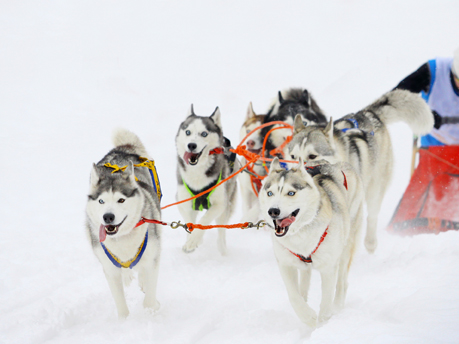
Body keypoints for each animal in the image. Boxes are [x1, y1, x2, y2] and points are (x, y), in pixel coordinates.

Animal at [86, 127, 162, 318]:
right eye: (101, 201)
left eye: (121, 200)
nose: (108, 217)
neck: (122, 239)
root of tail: (123, 150)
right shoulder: (109, 268)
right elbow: (120, 302)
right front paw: (125, 321)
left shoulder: (153, 256)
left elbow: (150, 294)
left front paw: (152, 311)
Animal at [174, 106, 235, 254]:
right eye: (188, 132)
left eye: (204, 134)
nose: (191, 145)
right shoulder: (183, 201)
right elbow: (190, 222)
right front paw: (192, 240)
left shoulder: (220, 204)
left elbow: (204, 220)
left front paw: (193, 241)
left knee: (221, 232)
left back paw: (223, 251)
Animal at [258, 157, 362, 326]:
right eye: (270, 193)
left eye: (291, 193)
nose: (273, 211)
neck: (301, 232)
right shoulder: (286, 264)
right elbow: (294, 296)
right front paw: (308, 318)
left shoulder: (328, 268)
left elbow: (326, 303)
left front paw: (322, 325)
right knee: (304, 283)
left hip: (346, 246)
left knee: (342, 282)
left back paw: (337, 306)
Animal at [286, 89, 434, 253]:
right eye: (293, 157)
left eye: (312, 156)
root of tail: (369, 113)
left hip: (374, 189)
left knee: (372, 217)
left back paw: (370, 243)